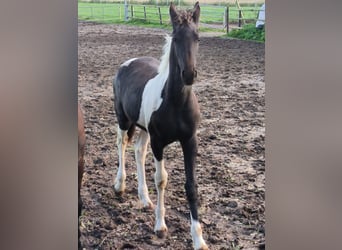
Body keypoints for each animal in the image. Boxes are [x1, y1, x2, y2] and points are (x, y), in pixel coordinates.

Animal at [113, 2, 207, 249]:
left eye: (197, 38)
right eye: (176, 38)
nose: (189, 74)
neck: (176, 102)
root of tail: (127, 63)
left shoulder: (189, 141)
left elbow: (191, 186)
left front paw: (198, 239)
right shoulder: (158, 143)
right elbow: (161, 179)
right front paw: (160, 227)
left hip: (144, 129)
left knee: (138, 151)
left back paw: (144, 198)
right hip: (123, 120)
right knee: (121, 144)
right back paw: (119, 185)